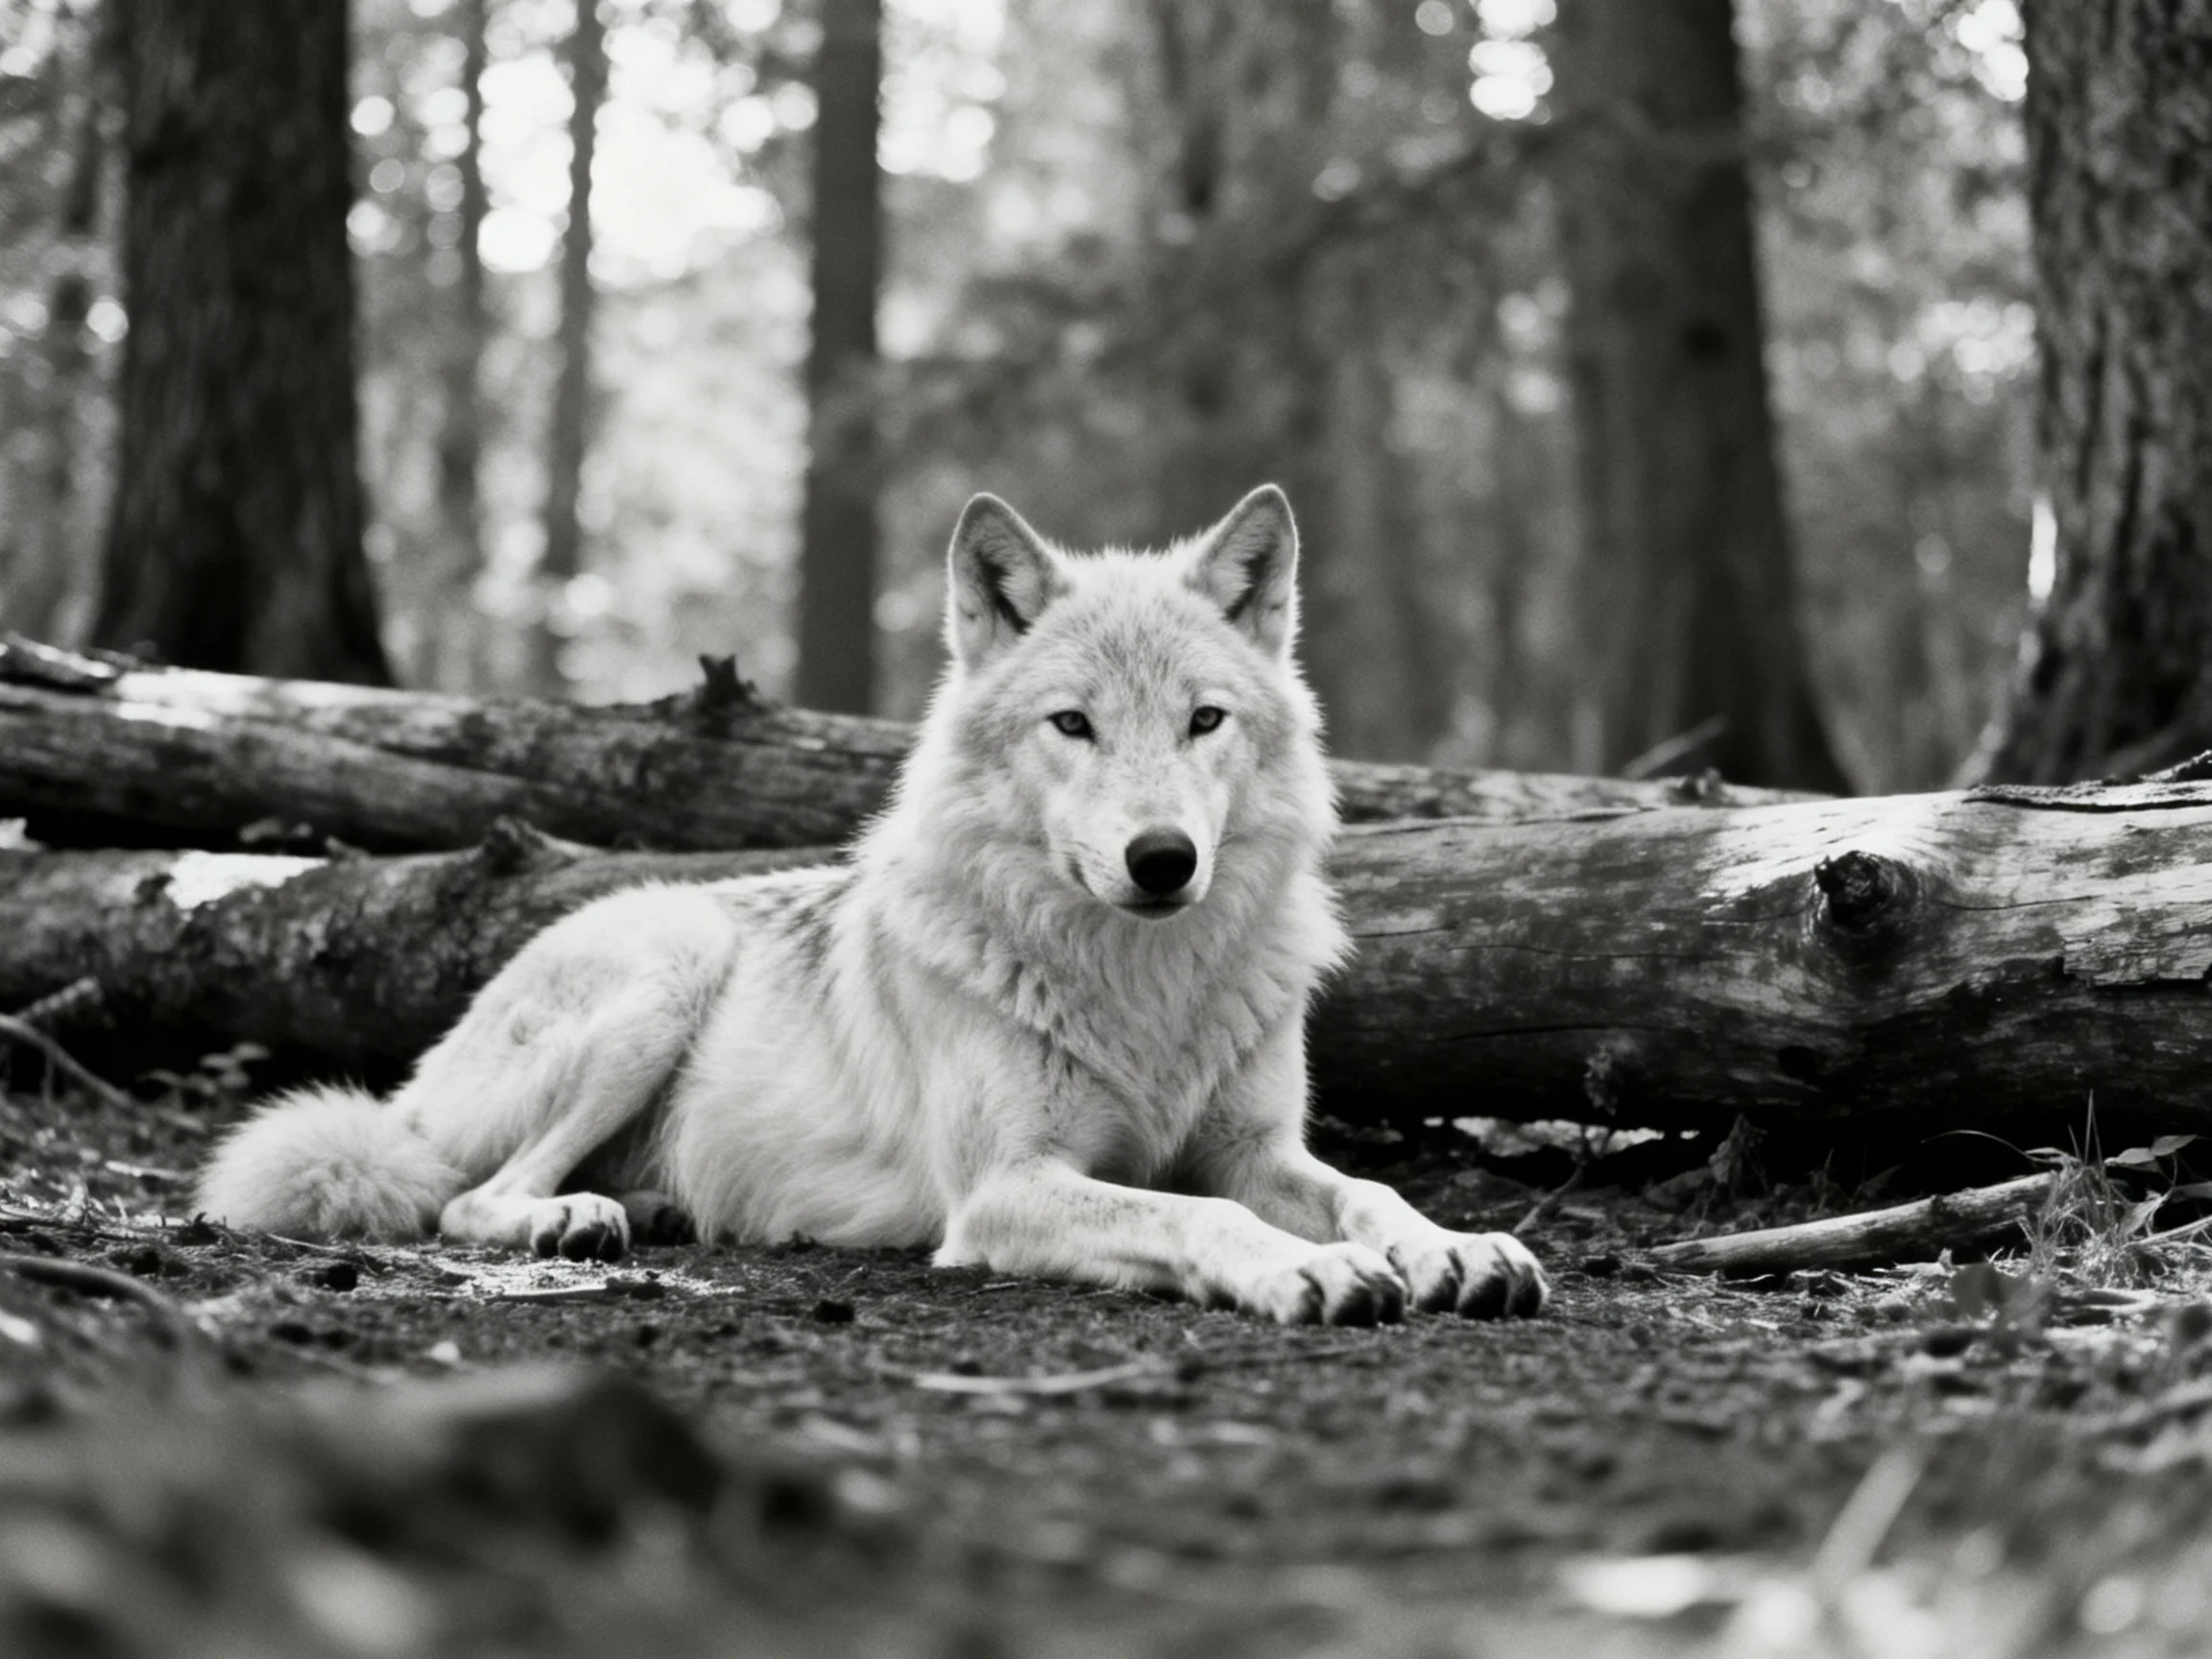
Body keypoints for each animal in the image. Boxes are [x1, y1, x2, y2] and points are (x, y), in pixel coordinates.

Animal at [196, 487, 1547, 1324]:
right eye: (1073, 725)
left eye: (1204, 720)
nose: (1163, 859)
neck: (1138, 984)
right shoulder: (1005, 1189)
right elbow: (1195, 1213)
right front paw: (1306, 1271)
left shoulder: (1259, 1148)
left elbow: (1368, 1193)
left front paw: (1451, 1245)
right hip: (668, 966)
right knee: (464, 1197)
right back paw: (572, 1219)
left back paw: (655, 1208)